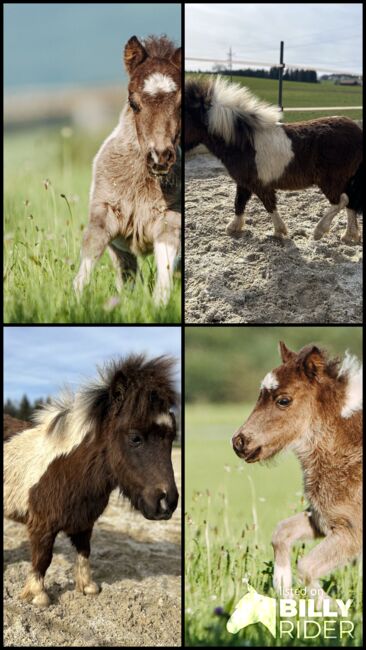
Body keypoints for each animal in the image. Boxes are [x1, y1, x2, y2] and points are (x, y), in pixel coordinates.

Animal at [4, 352, 179, 604]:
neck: (67, 469)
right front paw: (38, 596)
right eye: (135, 438)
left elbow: (84, 553)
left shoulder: (84, 521)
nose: (167, 502)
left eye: (172, 437)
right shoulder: (41, 524)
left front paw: (88, 587)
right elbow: (43, 558)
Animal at [73, 36, 182, 306]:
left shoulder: (170, 219)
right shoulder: (105, 213)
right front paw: (75, 303)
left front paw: (159, 305)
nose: (160, 157)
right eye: (133, 102)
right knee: (128, 277)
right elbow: (89, 254)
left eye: (180, 104)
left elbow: (165, 270)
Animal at [184, 76, 362, 243]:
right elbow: (239, 202)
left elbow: (268, 204)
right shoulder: (243, 182)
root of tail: (357, 132)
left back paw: (319, 231)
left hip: (330, 181)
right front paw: (233, 227)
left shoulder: (260, 184)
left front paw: (279, 231)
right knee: (351, 202)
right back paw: (349, 236)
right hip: (346, 180)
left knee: (341, 201)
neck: (244, 142)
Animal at [233, 342, 362, 600]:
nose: (239, 442)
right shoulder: (323, 518)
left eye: (283, 400)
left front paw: (331, 606)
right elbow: (281, 532)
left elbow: (306, 567)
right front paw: (283, 590)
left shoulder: (352, 531)